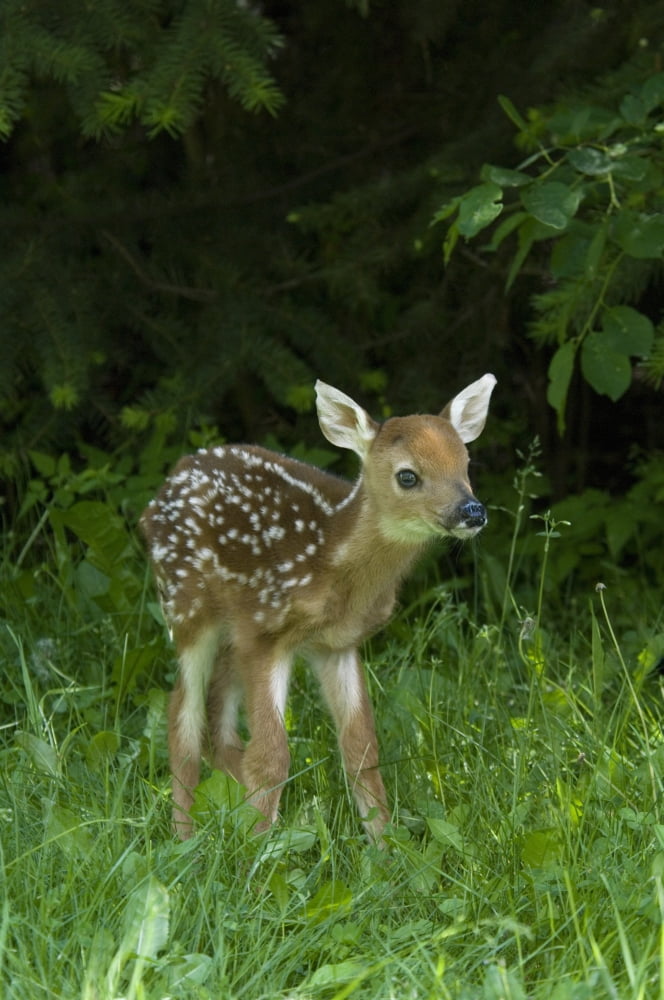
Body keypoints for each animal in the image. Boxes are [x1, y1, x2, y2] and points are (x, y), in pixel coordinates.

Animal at [140, 373, 496, 841]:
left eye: (466, 464)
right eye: (408, 476)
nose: (471, 510)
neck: (330, 558)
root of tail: (169, 481)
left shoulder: (336, 645)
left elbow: (362, 750)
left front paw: (383, 846)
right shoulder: (266, 631)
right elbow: (271, 755)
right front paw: (257, 850)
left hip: (230, 630)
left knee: (218, 718)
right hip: (187, 606)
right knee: (182, 714)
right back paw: (184, 835)